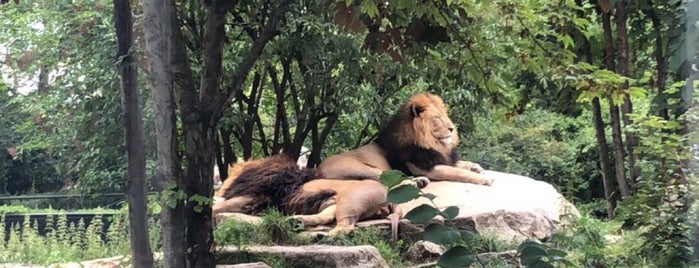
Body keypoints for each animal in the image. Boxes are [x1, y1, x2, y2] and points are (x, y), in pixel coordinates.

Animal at [211, 155, 396, 237]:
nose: (219, 186)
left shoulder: (252, 196)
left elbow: (216, 206)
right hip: (333, 204)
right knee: (326, 218)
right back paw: (296, 221)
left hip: (351, 201)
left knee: (346, 227)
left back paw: (323, 237)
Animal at [318, 92, 492, 186]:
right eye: (436, 118)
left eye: (444, 116)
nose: (452, 129)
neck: (434, 144)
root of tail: (318, 169)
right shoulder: (424, 167)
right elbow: (458, 172)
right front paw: (484, 179)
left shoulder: (441, 159)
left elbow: (460, 164)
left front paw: (475, 166)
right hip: (360, 168)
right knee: (385, 179)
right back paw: (415, 182)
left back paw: (419, 182)